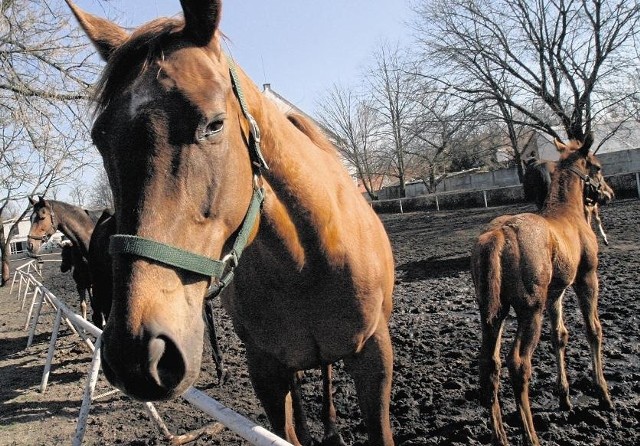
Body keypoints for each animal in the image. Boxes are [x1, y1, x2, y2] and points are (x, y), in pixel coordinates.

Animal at [66, 1, 396, 444]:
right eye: (101, 138)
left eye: (214, 124)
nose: (136, 353)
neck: (305, 264)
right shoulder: (267, 371)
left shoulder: (375, 357)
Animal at [470, 139, 616, 446]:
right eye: (597, 167)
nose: (609, 193)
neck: (569, 213)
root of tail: (498, 235)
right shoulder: (586, 278)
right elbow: (593, 330)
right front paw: (603, 393)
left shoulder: (554, 293)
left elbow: (559, 335)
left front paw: (564, 396)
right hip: (529, 310)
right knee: (518, 363)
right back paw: (531, 435)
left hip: (493, 313)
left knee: (489, 364)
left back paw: (500, 436)